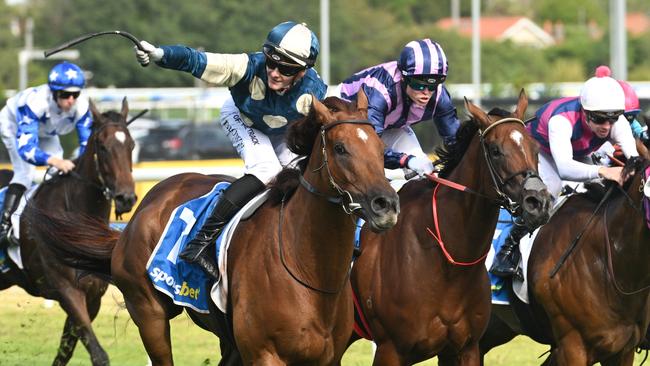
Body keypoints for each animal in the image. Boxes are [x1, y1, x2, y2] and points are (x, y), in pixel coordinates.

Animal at [2, 98, 137, 366]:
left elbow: (64, 352)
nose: (126, 198)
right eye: (103, 147)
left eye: (131, 145)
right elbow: (98, 355)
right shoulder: (67, 291)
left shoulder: (92, 297)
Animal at [30, 95, 400, 366]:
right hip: (149, 313)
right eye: (340, 148)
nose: (386, 204)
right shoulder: (264, 355)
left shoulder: (327, 358)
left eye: (382, 150)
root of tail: (142, 210)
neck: (308, 271)